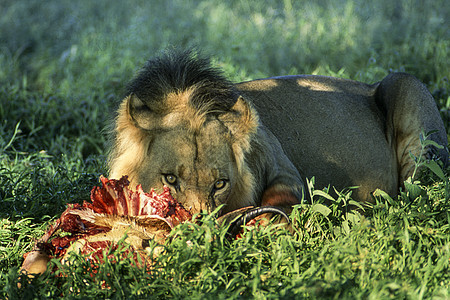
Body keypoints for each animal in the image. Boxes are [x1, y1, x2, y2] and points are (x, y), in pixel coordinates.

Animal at [107, 49, 448, 221]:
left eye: (220, 184)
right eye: (169, 179)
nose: (199, 226)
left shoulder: (280, 162)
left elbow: (279, 198)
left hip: (407, 85)